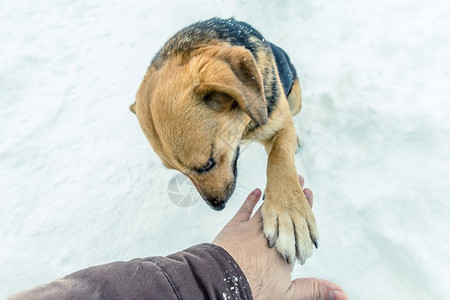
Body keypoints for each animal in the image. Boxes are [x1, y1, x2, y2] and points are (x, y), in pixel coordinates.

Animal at [131, 17, 316, 264]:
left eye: (207, 164)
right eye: (179, 172)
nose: (217, 206)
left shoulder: (280, 121)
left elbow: (280, 154)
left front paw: (289, 210)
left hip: (295, 98)